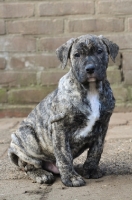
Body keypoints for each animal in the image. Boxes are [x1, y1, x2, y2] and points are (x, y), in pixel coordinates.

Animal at [8, 34, 119, 186]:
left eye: (99, 51)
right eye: (77, 55)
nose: (90, 68)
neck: (91, 89)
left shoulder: (103, 126)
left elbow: (96, 150)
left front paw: (91, 170)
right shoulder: (60, 127)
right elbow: (64, 155)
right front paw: (71, 177)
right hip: (27, 137)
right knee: (28, 165)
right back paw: (41, 174)